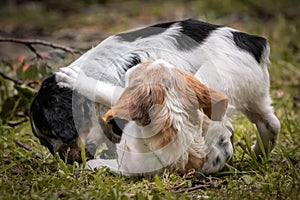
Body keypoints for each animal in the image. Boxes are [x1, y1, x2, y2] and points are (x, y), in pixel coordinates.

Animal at [29, 18, 280, 173]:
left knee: (222, 137)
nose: (66, 162)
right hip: (255, 95)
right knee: (271, 124)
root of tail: (254, 42)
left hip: (207, 86)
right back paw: (258, 154)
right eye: (44, 142)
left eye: (52, 131)